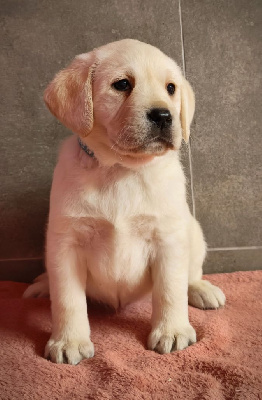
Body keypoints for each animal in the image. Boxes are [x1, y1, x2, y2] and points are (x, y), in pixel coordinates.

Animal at [24, 39, 225, 362]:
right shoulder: (66, 243)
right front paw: (68, 341)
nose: (164, 115)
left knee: (190, 274)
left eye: (171, 88)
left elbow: (170, 290)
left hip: (193, 233)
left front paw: (172, 331)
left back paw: (202, 290)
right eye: (122, 84)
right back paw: (42, 285)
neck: (122, 170)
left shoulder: (168, 239)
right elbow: (68, 299)